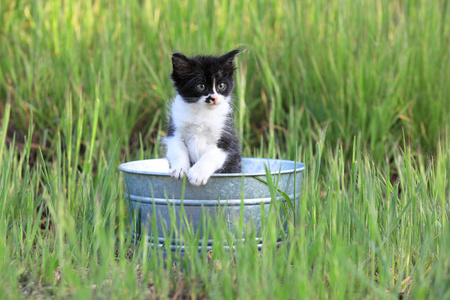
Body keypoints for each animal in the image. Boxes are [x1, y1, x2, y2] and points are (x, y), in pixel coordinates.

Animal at [164, 49, 243, 185]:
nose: (213, 98)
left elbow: (211, 154)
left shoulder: (225, 137)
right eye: (201, 86)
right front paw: (180, 169)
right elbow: (177, 149)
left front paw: (197, 174)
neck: (202, 113)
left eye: (221, 85)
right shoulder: (174, 130)